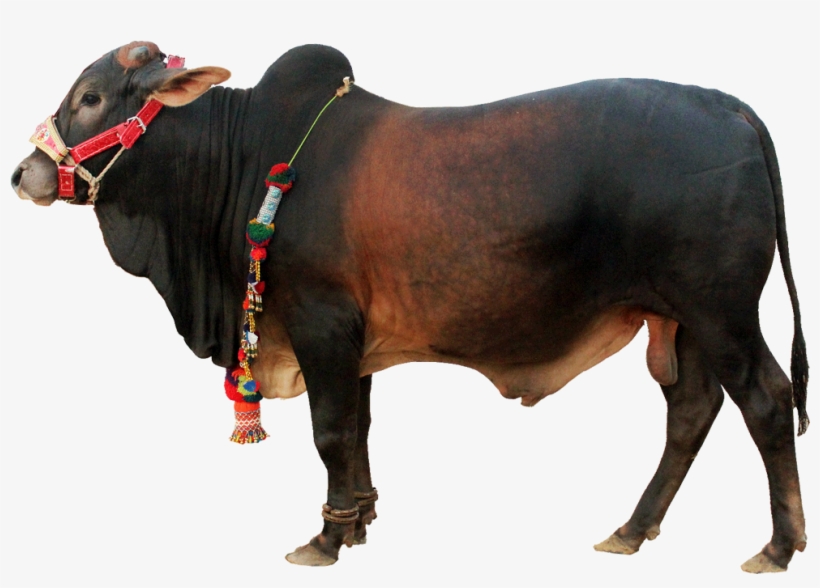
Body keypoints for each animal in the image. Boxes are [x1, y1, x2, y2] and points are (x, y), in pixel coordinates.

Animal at [11, 41, 809, 572]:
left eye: (91, 97)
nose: (24, 173)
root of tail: (728, 105)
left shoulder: (321, 324)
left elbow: (331, 432)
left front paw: (325, 539)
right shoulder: (353, 341)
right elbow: (360, 430)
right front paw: (359, 518)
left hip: (722, 310)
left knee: (768, 401)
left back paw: (777, 546)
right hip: (681, 320)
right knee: (692, 411)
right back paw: (632, 529)